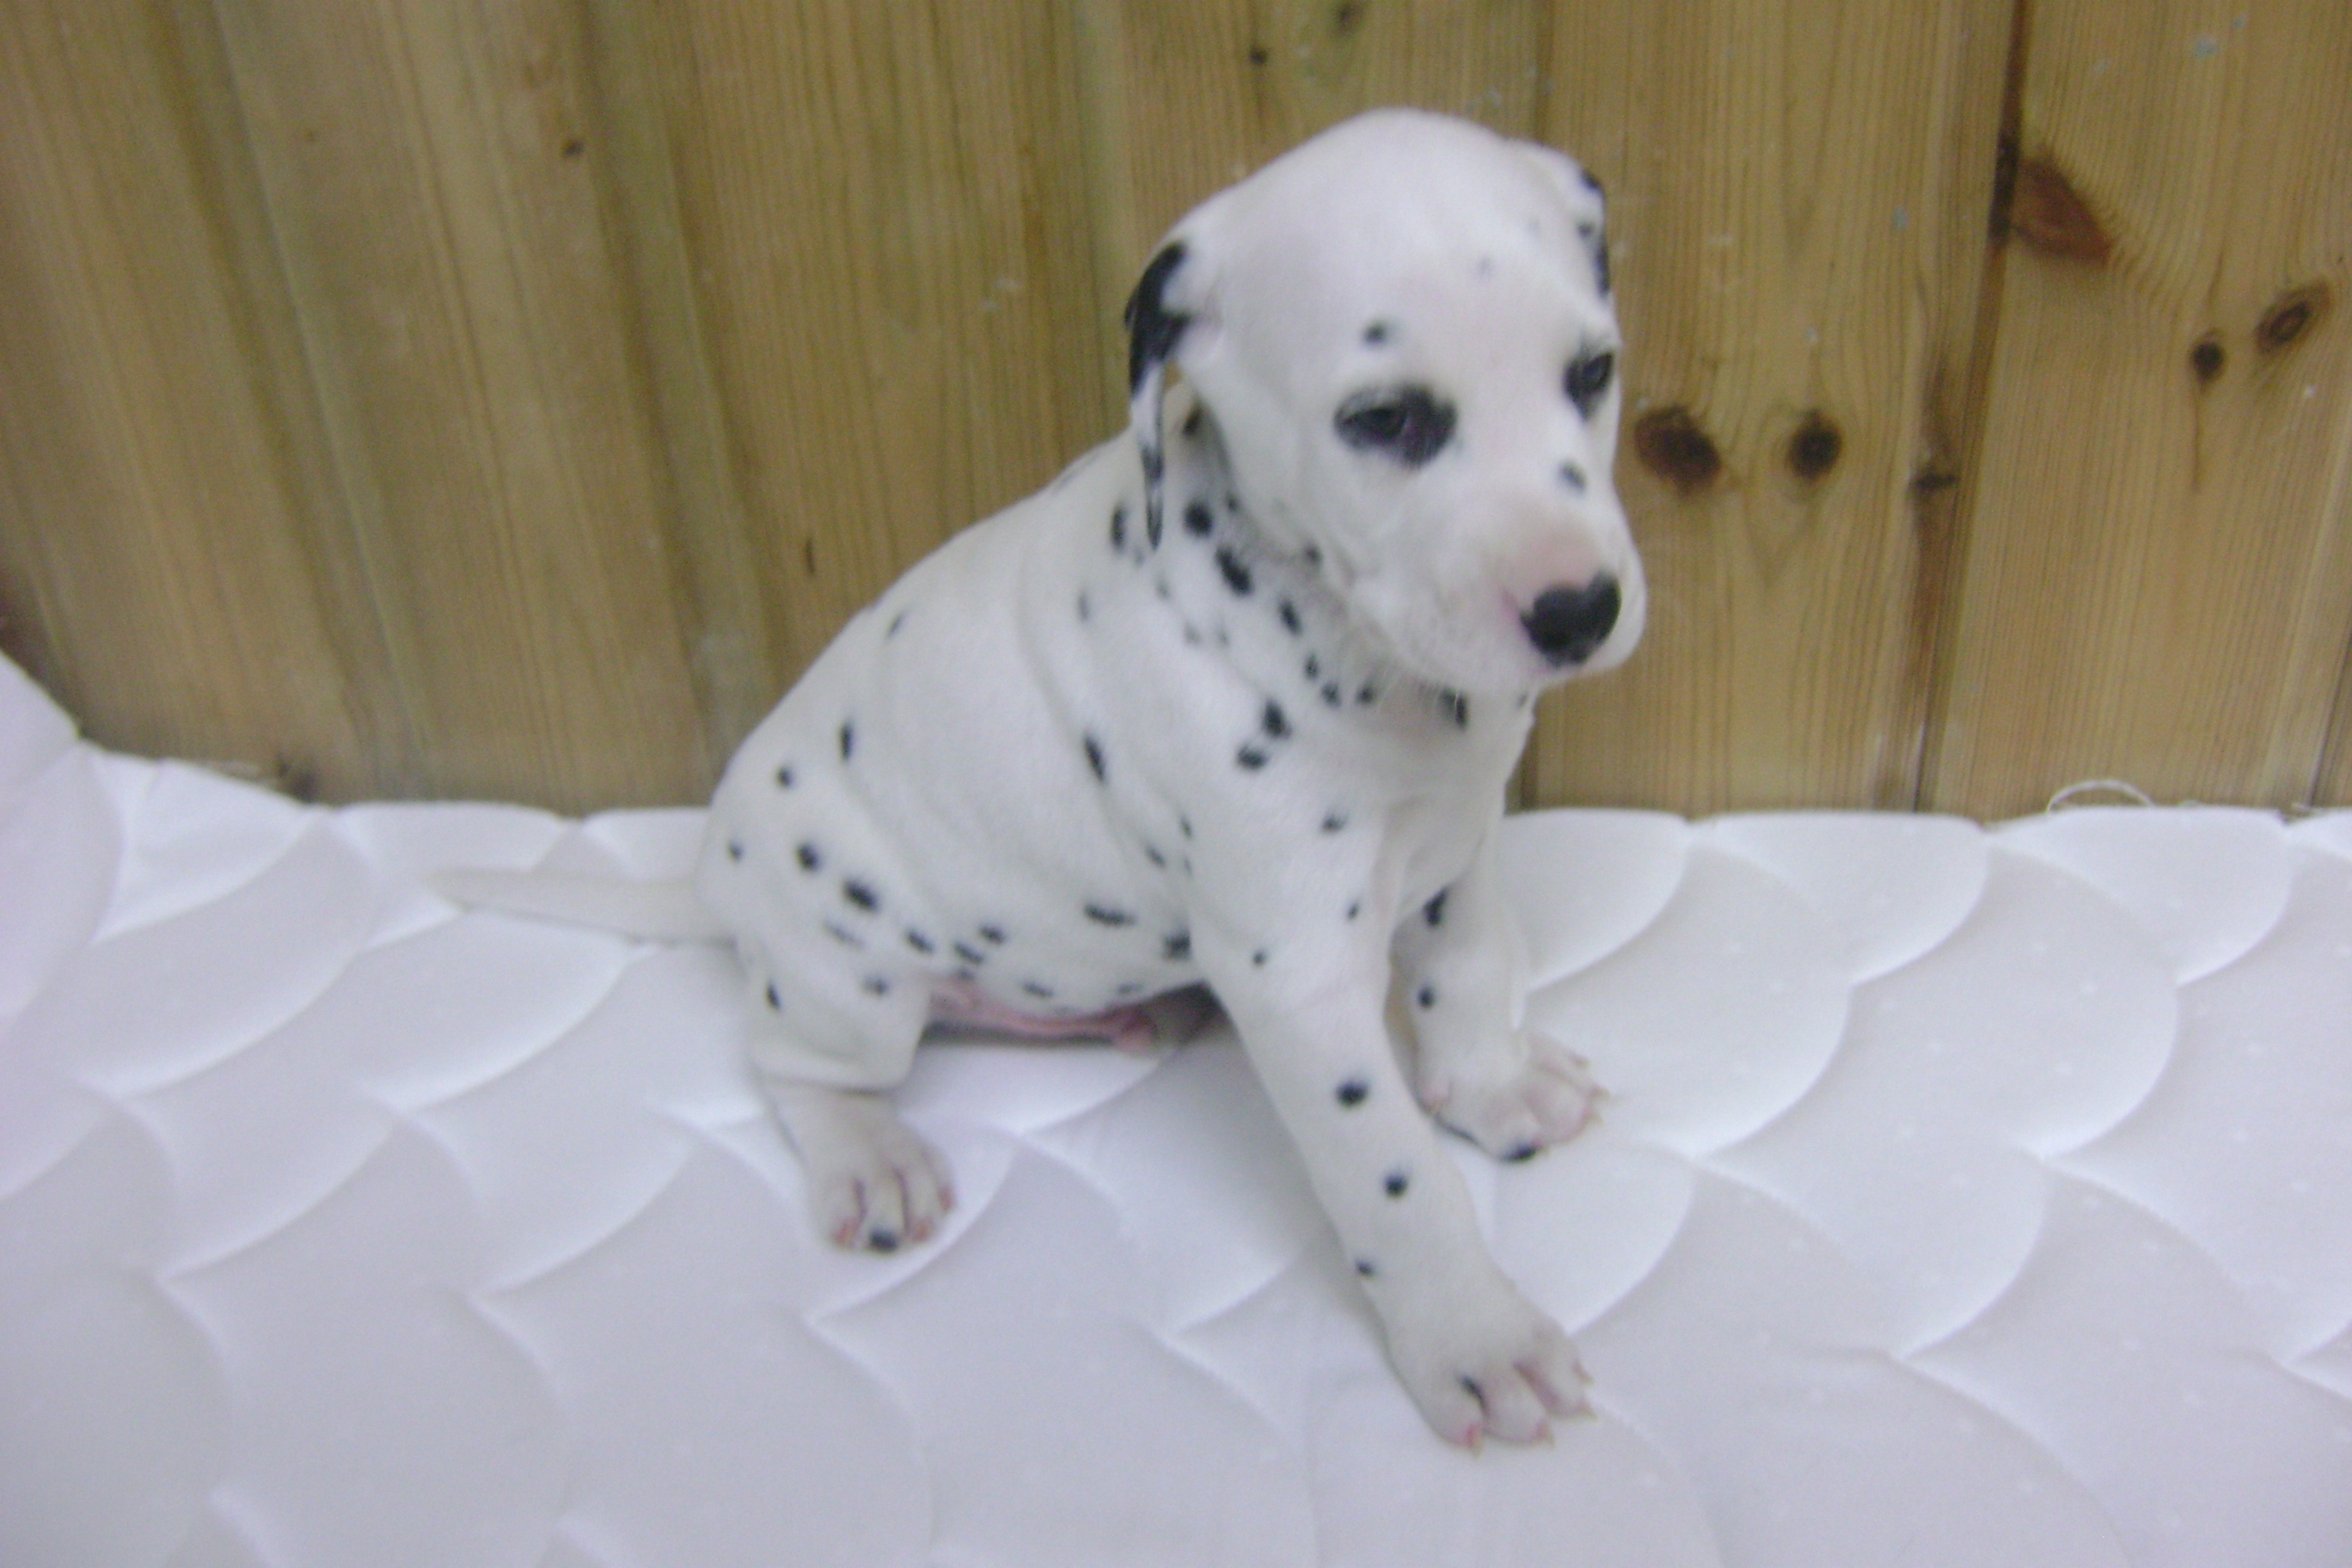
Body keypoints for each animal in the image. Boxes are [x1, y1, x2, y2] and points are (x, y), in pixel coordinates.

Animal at [442, 108, 1641, 1448]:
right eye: (1387, 421)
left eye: (1591, 373)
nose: (1579, 610)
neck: (1346, 647)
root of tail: (711, 877)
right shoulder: (1296, 975)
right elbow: (1391, 1174)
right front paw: (1475, 1334)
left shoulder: (1462, 845)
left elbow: (1470, 975)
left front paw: (1494, 1088)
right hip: (850, 988)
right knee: (790, 1065)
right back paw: (870, 1154)